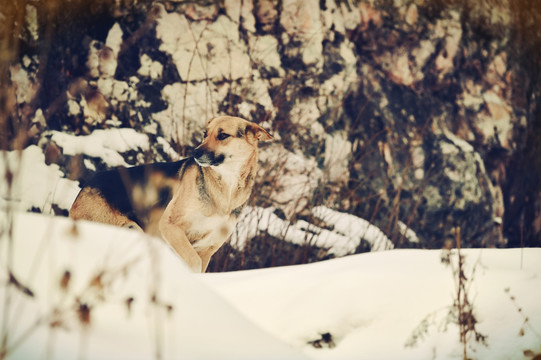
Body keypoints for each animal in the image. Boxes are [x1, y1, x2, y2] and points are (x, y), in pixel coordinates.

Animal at [69, 116, 272, 272]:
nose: (195, 152)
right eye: (205, 134)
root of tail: (89, 182)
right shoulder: (170, 227)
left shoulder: (207, 248)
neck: (226, 186)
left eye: (223, 135)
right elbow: (193, 262)